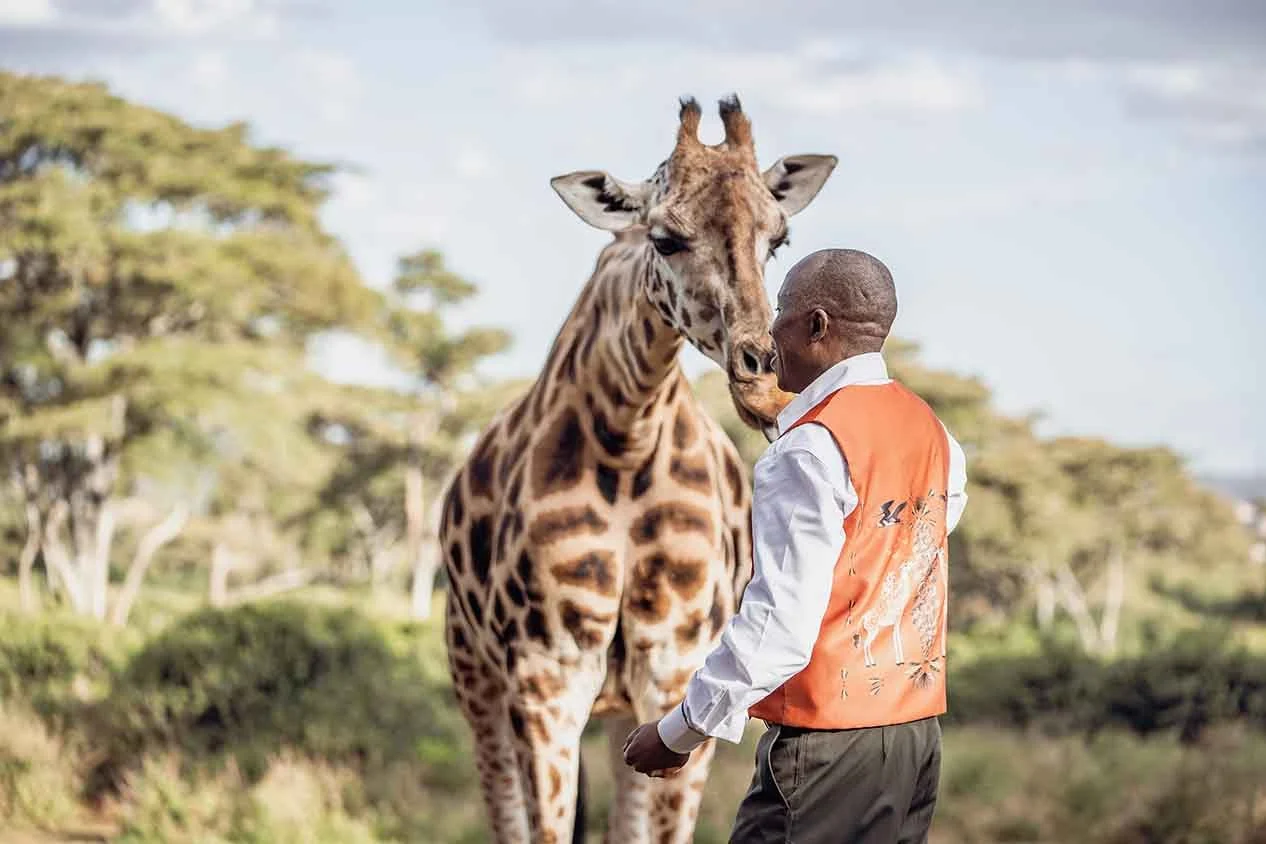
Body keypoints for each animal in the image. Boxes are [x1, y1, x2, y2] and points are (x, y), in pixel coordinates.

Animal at [440, 95, 837, 844]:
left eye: (779, 239)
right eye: (665, 239)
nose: (762, 374)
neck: (628, 439)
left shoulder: (674, 668)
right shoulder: (546, 678)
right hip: (473, 673)